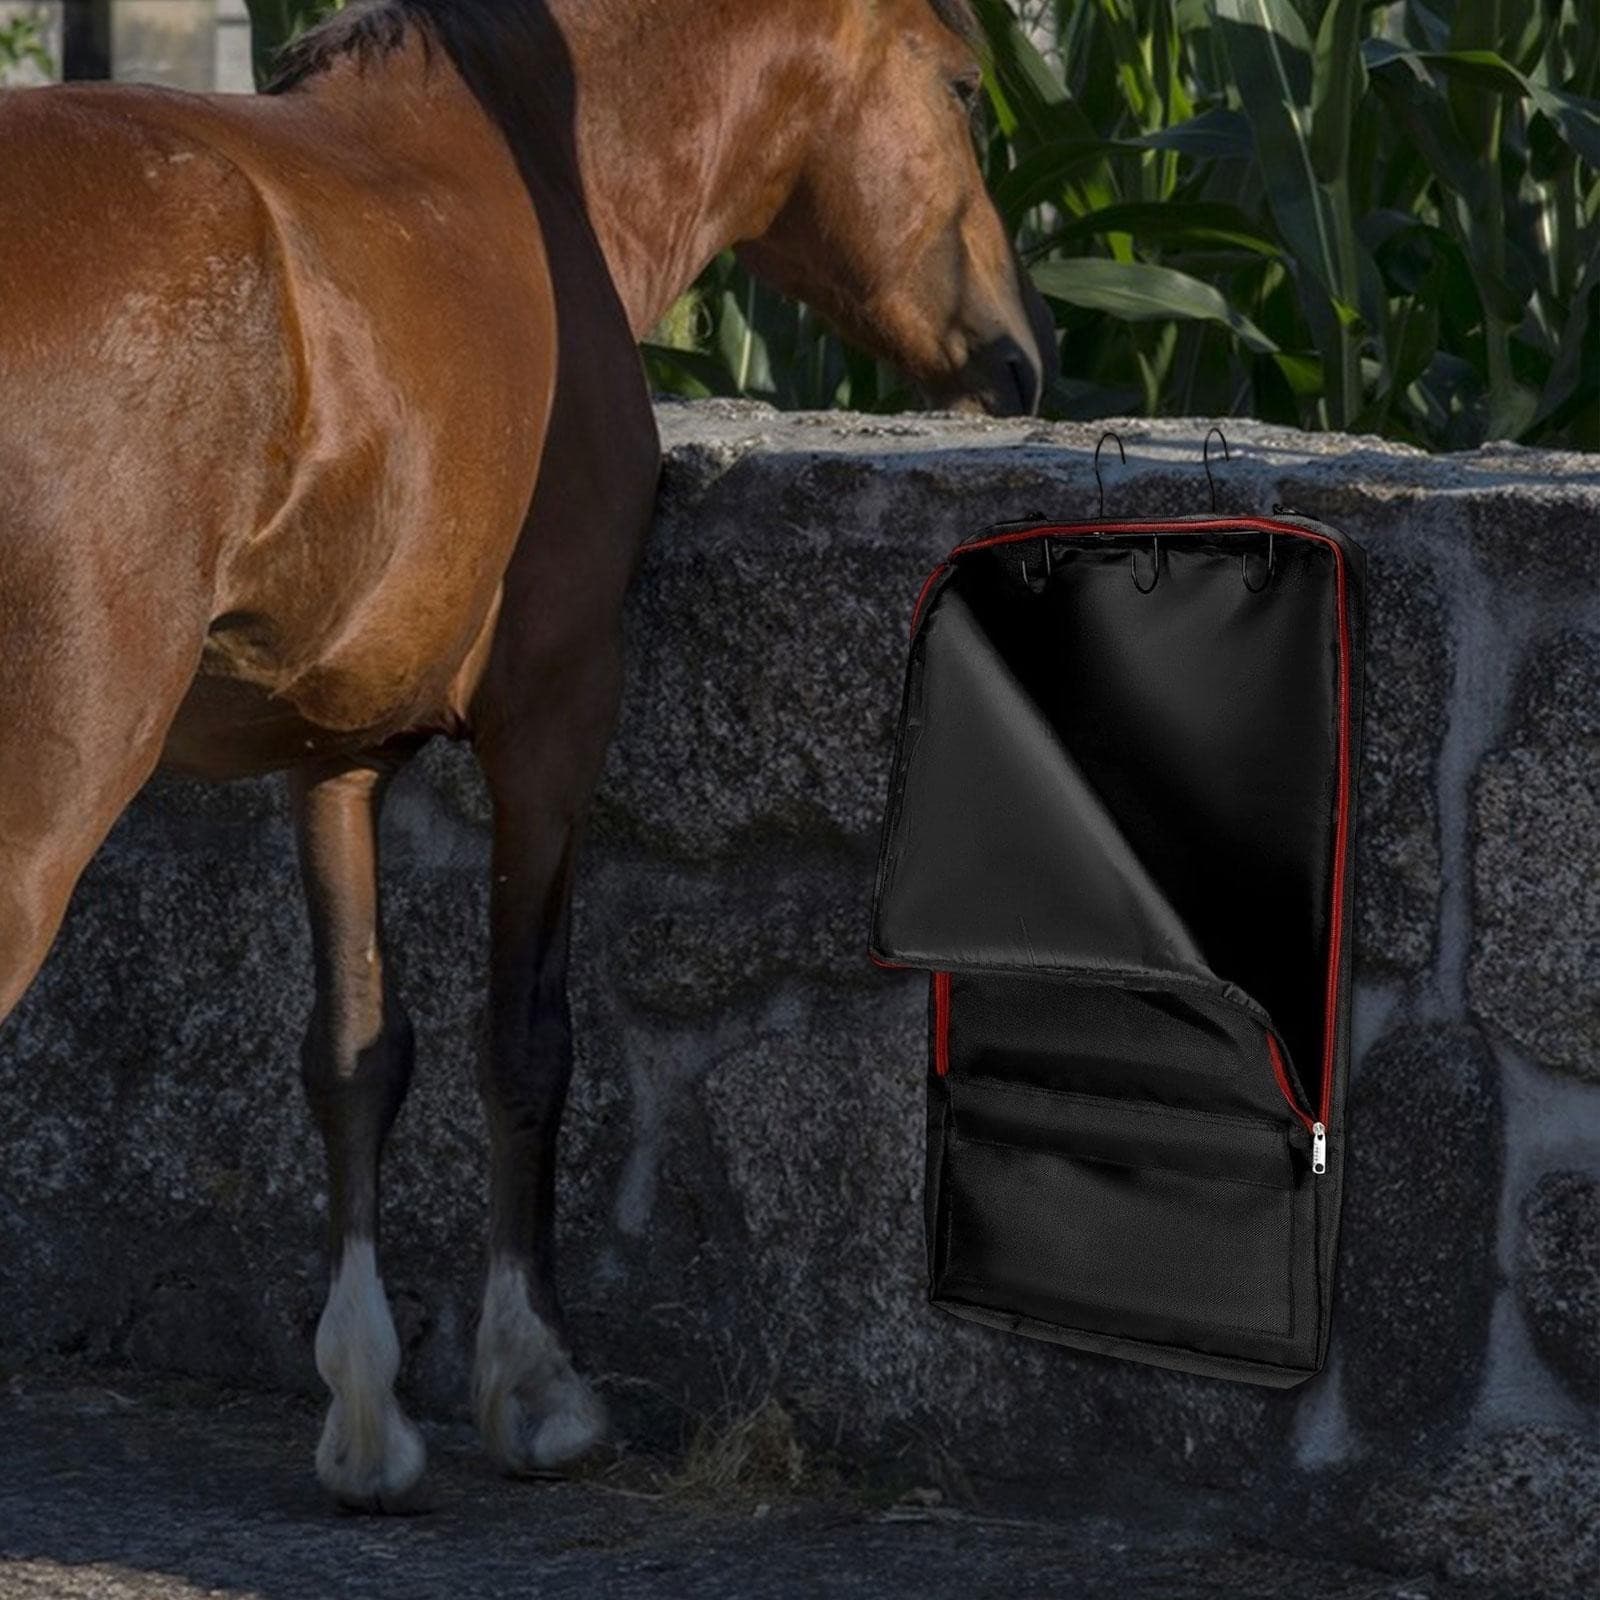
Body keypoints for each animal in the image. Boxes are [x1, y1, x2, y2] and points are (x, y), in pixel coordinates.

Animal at [0, 0, 1053, 1509]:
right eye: (965, 86)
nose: (1022, 357)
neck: (529, 173)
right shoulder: (555, 718)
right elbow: (526, 1041)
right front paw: (534, 1384)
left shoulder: (336, 748)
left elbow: (355, 1054)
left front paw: (367, 1413)